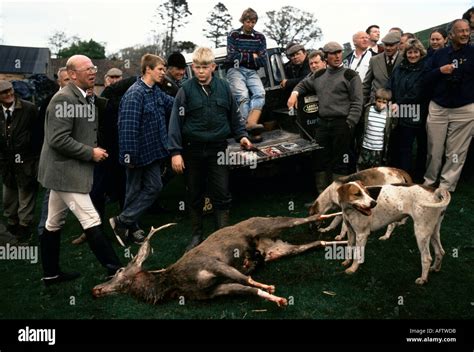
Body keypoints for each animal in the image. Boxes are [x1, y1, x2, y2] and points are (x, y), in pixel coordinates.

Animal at [92, 213, 344, 306]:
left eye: (119, 272)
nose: (96, 289)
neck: (173, 283)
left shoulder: (211, 264)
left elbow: (246, 279)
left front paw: (268, 286)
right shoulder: (215, 290)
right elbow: (247, 288)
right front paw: (277, 298)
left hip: (269, 223)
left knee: (308, 217)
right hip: (282, 249)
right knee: (317, 243)